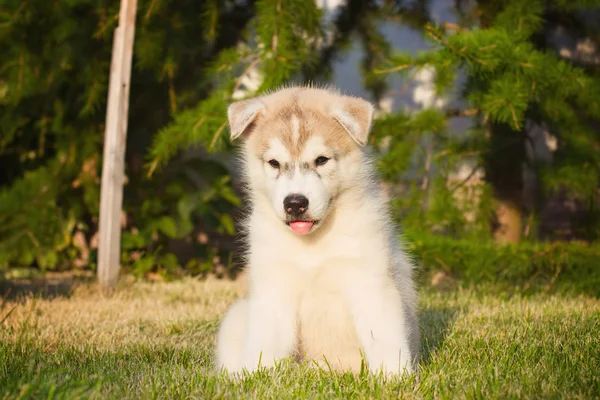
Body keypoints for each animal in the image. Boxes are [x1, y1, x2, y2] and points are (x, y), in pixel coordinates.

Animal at [214, 86, 418, 376]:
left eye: (321, 160)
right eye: (274, 163)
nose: (295, 203)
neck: (312, 245)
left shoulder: (371, 282)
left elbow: (384, 338)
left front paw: (394, 377)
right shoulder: (274, 286)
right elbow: (266, 344)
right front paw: (257, 378)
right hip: (237, 316)